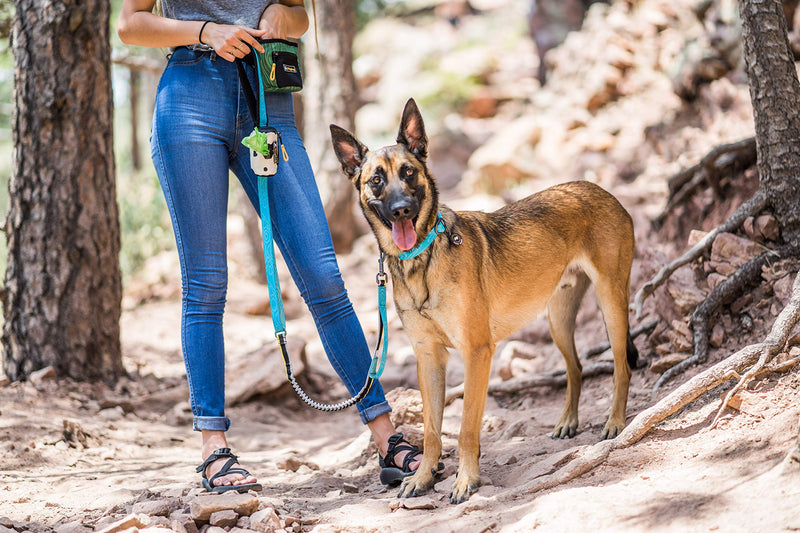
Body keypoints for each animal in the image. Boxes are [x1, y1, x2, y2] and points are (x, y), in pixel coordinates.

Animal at [326, 98, 636, 502]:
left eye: (409, 172)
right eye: (376, 180)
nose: (401, 210)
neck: (422, 258)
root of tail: (599, 189)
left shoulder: (477, 353)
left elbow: (465, 429)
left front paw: (466, 481)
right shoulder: (428, 358)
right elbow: (431, 431)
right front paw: (423, 477)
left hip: (611, 302)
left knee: (621, 366)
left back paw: (614, 422)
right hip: (558, 320)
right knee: (576, 367)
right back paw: (568, 421)